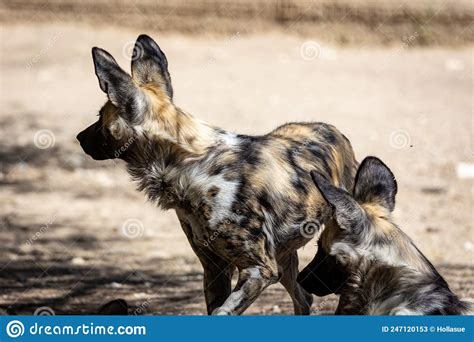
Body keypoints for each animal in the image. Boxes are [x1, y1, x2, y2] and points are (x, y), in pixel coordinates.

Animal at [76, 34, 358, 316]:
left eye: (99, 118)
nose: (79, 137)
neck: (190, 164)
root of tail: (331, 129)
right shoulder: (215, 267)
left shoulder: (259, 269)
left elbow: (224, 311)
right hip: (285, 261)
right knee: (304, 298)